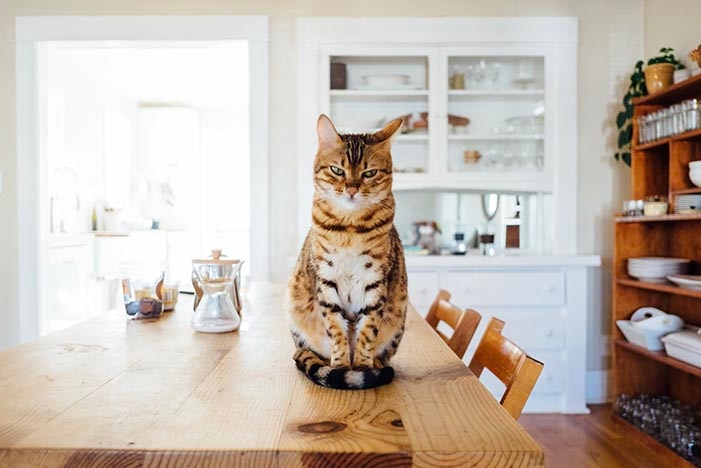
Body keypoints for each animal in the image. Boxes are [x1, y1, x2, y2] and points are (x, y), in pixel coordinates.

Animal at [286, 114, 408, 392]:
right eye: (337, 170)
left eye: (369, 173)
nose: (352, 189)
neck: (350, 228)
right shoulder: (326, 279)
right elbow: (336, 330)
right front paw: (341, 367)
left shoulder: (375, 282)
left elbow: (367, 331)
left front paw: (362, 368)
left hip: (398, 318)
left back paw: (376, 365)